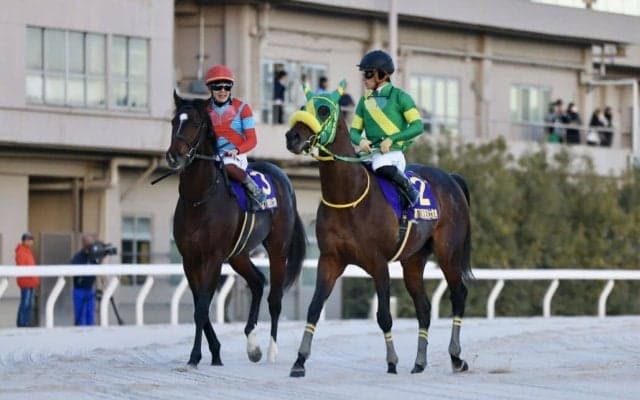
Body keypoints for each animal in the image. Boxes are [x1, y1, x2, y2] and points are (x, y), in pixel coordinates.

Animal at [165, 92, 306, 368]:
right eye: (174, 121)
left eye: (195, 123)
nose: (174, 156)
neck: (199, 198)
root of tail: (286, 181)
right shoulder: (190, 259)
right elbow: (200, 306)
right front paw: (215, 352)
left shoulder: (212, 258)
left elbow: (202, 308)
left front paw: (195, 356)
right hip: (238, 254)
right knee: (258, 281)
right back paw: (253, 346)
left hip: (277, 249)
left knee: (274, 298)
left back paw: (271, 351)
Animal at [284, 83, 473, 377]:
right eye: (303, 107)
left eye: (324, 109)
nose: (292, 137)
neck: (348, 198)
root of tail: (451, 178)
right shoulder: (330, 260)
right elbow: (314, 308)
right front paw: (299, 361)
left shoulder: (378, 263)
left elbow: (384, 316)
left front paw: (392, 361)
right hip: (413, 260)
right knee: (423, 306)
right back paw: (419, 362)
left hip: (448, 252)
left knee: (459, 294)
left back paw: (456, 357)